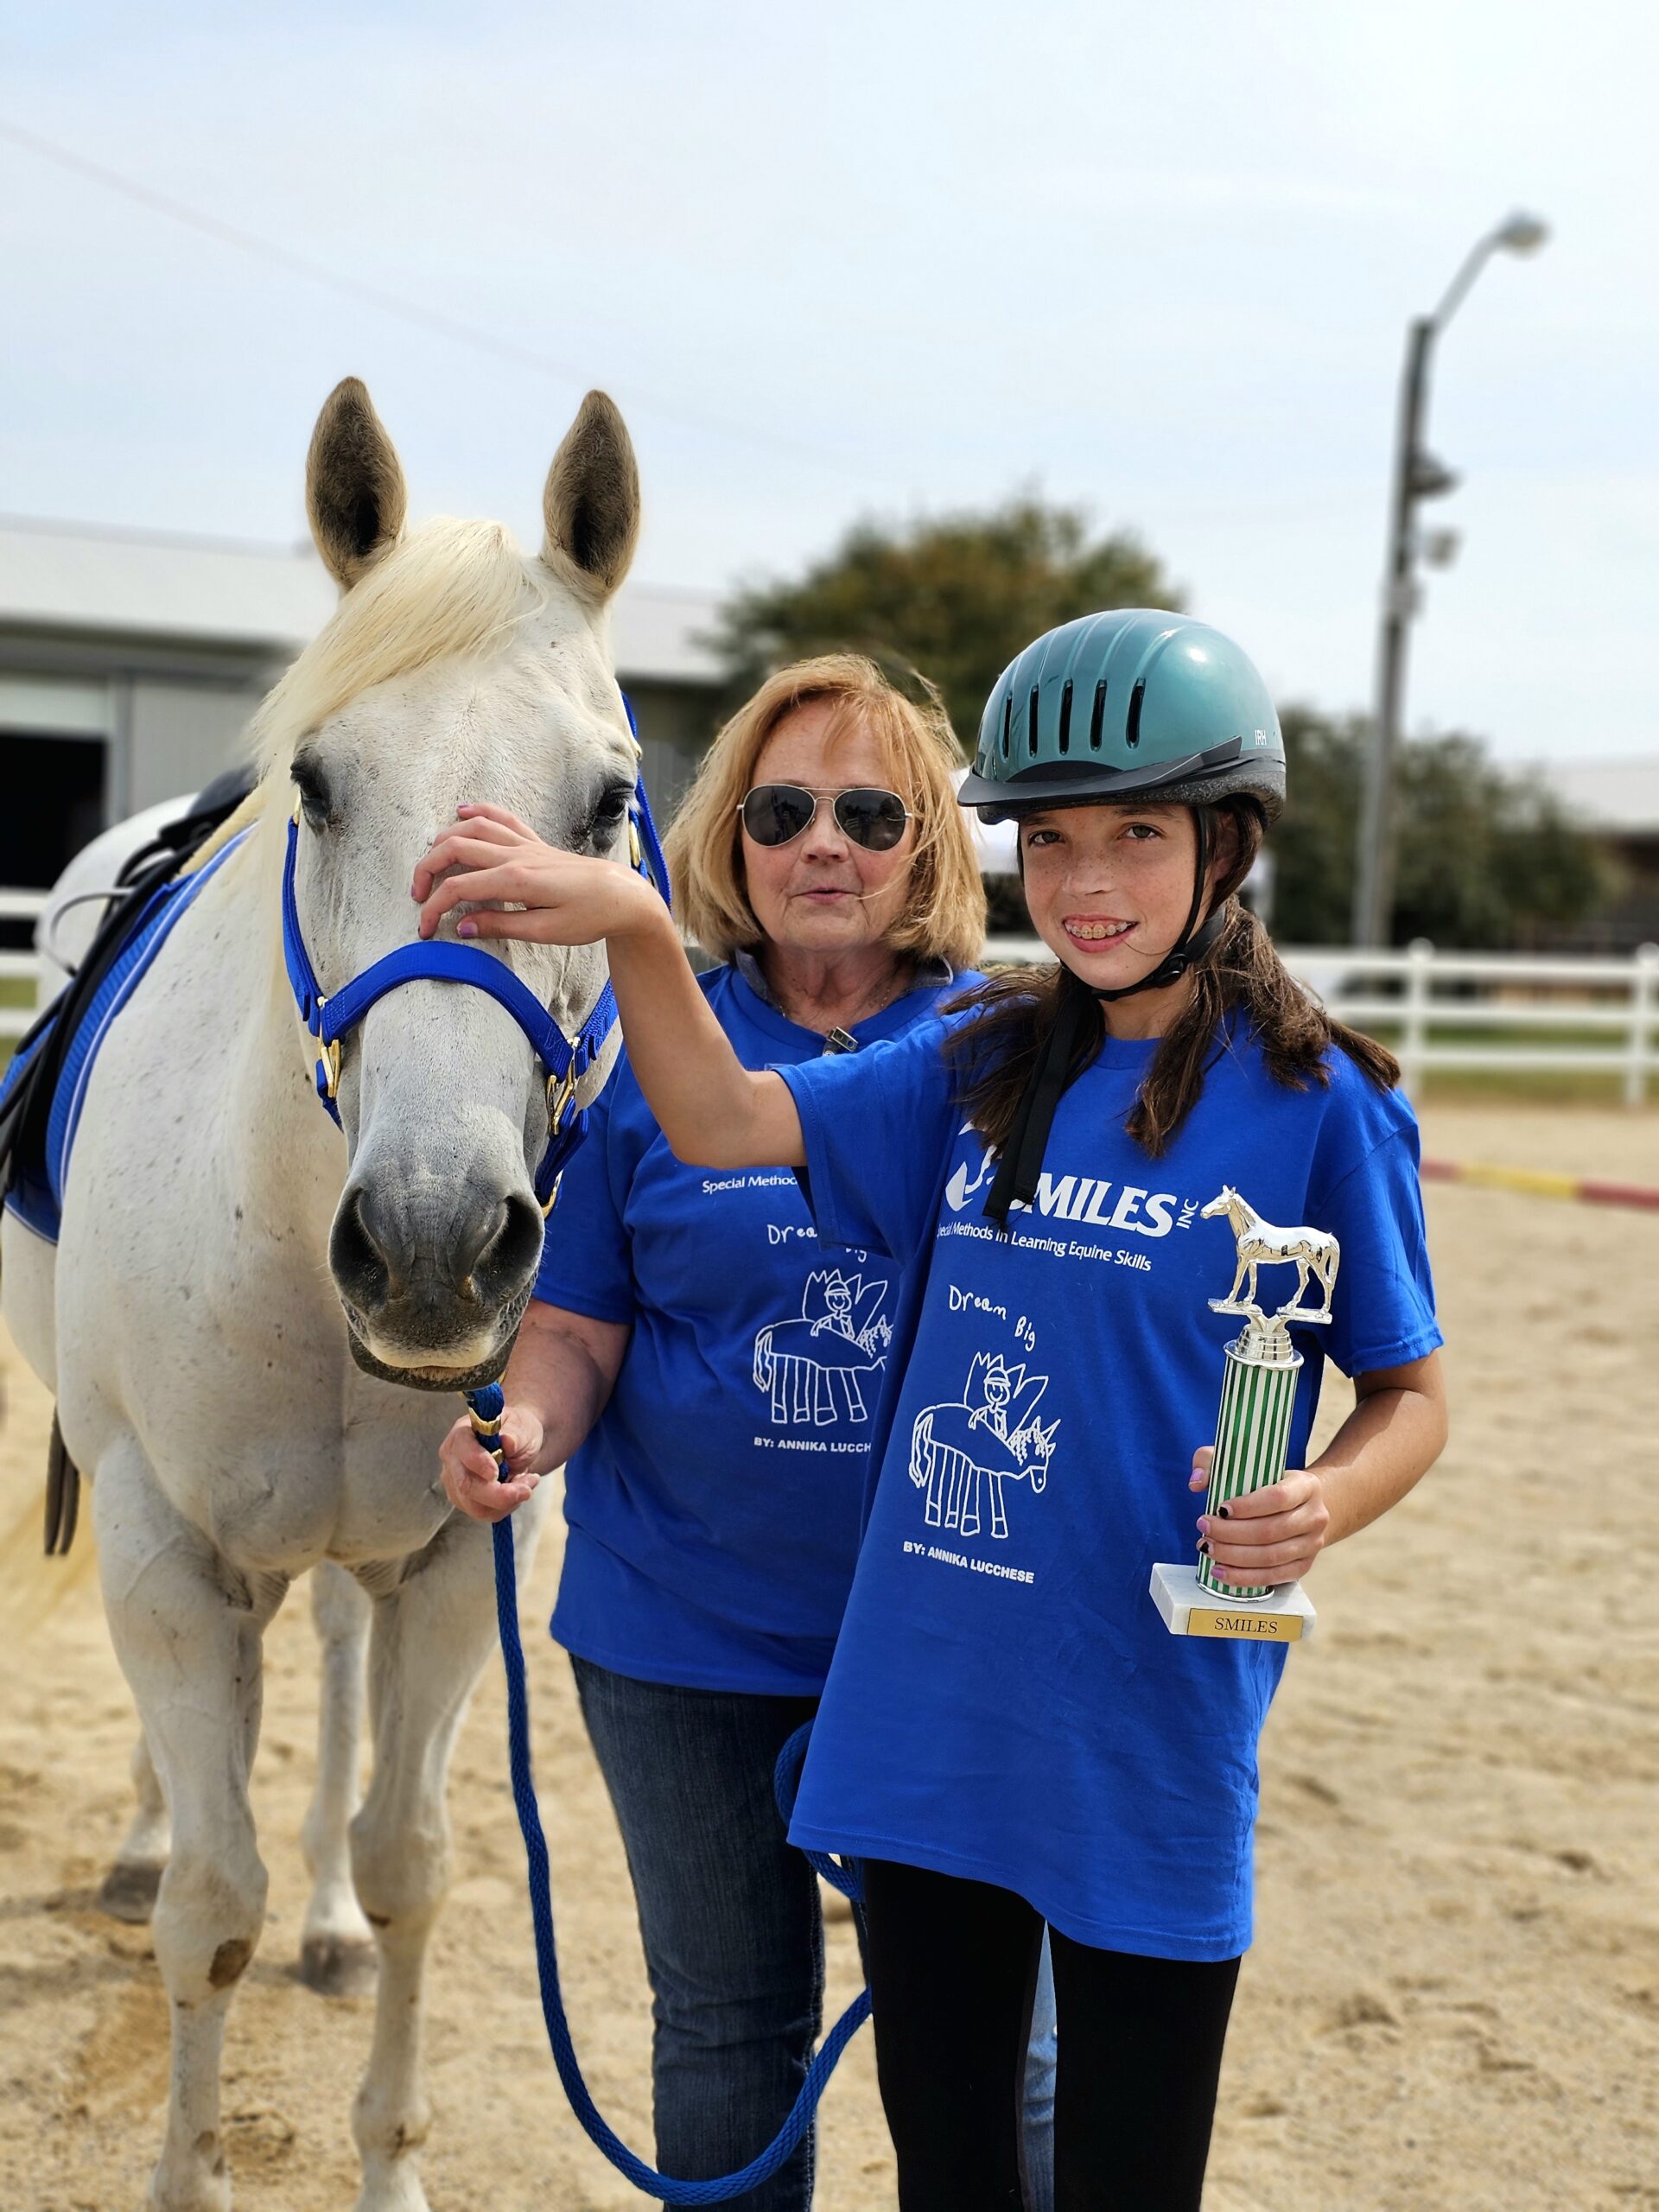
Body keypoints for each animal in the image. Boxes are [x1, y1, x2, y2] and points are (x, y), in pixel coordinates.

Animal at [0, 374, 644, 2212]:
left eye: (606, 802)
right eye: (318, 783)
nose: (436, 1241)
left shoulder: (463, 1557)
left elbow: (416, 1861)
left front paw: (389, 2147)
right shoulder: (162, 1549)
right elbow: (213, 1913)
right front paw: (187, 2172)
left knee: (343, 1681)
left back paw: (337, 1924)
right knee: (192, 1808)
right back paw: (141, 1837)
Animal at [1199, 1186, 1339, 1322]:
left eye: (1221, 1202)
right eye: (1216, 1198)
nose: (1202, 1212)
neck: (1251, 1229)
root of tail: (1327, 1237)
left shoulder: (1243, 1259)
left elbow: (1238, 1280)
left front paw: (1226, 1302)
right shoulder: (1252, 1261)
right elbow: (1253, 1279)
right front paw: (1246, 1302)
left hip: (1317, 1264)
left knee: (1327, 1284)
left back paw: (1321, 1313)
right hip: (1302, 1262)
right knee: (1305, 1281)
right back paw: (1289, 1306)